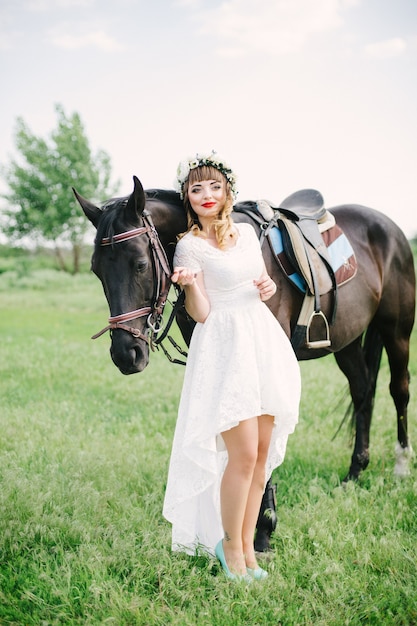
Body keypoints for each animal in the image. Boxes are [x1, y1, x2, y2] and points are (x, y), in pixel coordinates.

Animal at [73, 177, 414, 552]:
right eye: (96, 270)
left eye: (140, 264)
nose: (125, 354)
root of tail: (389, 227)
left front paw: (263, 529)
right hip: (348, 341)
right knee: (362, 392)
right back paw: (354, 473)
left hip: (397, 332)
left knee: (398, 390)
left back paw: (401, 466)